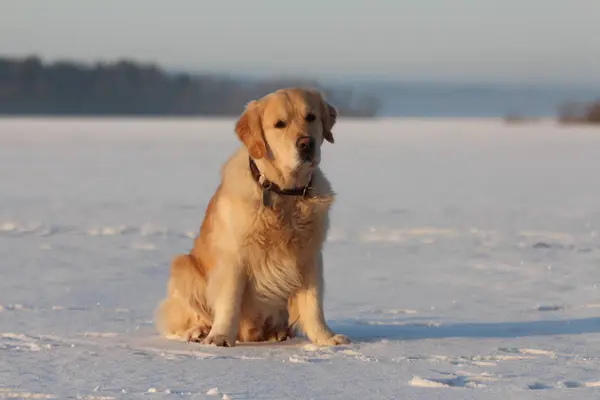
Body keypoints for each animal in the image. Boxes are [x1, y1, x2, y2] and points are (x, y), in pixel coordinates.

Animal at [155, 87, 350, 346]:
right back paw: (198, 332)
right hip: (183, 266)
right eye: (279, 124)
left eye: (311, 117)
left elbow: (314, 303)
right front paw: (220, 337)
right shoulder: (234, 257)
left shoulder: (310, 256)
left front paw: (325, 338)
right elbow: (229, 300)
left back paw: (278, 333)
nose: (306, 143)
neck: (285, 194)